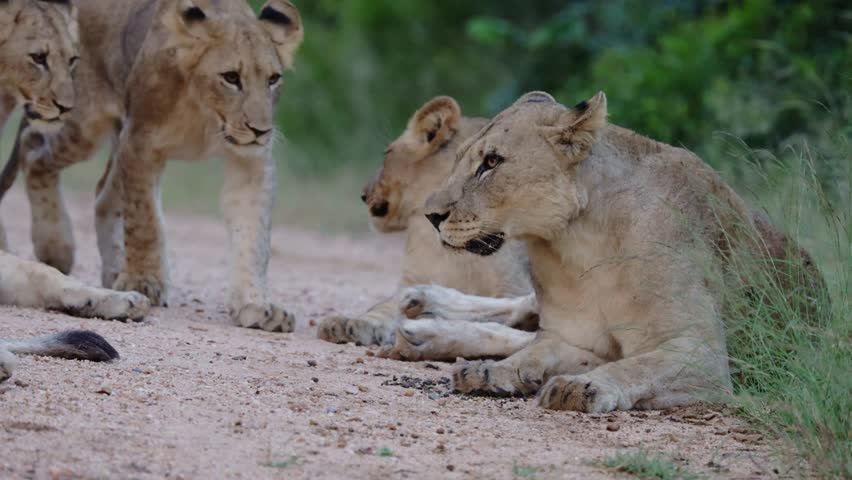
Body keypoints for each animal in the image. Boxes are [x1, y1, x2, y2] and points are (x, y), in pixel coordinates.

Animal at [1, 0, 304, 332]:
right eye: (231, 77)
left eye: (273, 79)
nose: (260, 130)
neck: (207, 116)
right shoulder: (140, 142)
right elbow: (145, 222)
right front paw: (144, 281)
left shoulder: (250, 160)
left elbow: (252, 236)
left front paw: (256, 306)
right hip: (81, 123)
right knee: (33, 149)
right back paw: (56, 247)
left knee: (102, 195)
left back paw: (113, 270)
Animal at [317, 96, 539, 358]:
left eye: (387, 154)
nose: (363, 194)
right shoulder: (409, 280)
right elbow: (384, 307)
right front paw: (346, 324)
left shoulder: (513, 285)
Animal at [404, 91, 825, 412]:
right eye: (459, 160)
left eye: (491, 162)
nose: (431, 216)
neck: (578, 246)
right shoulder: (572, 338)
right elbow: (534, 352)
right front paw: (494, 372)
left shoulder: (699, 352)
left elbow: (634, 368)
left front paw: (578, 386)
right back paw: (416, 312)